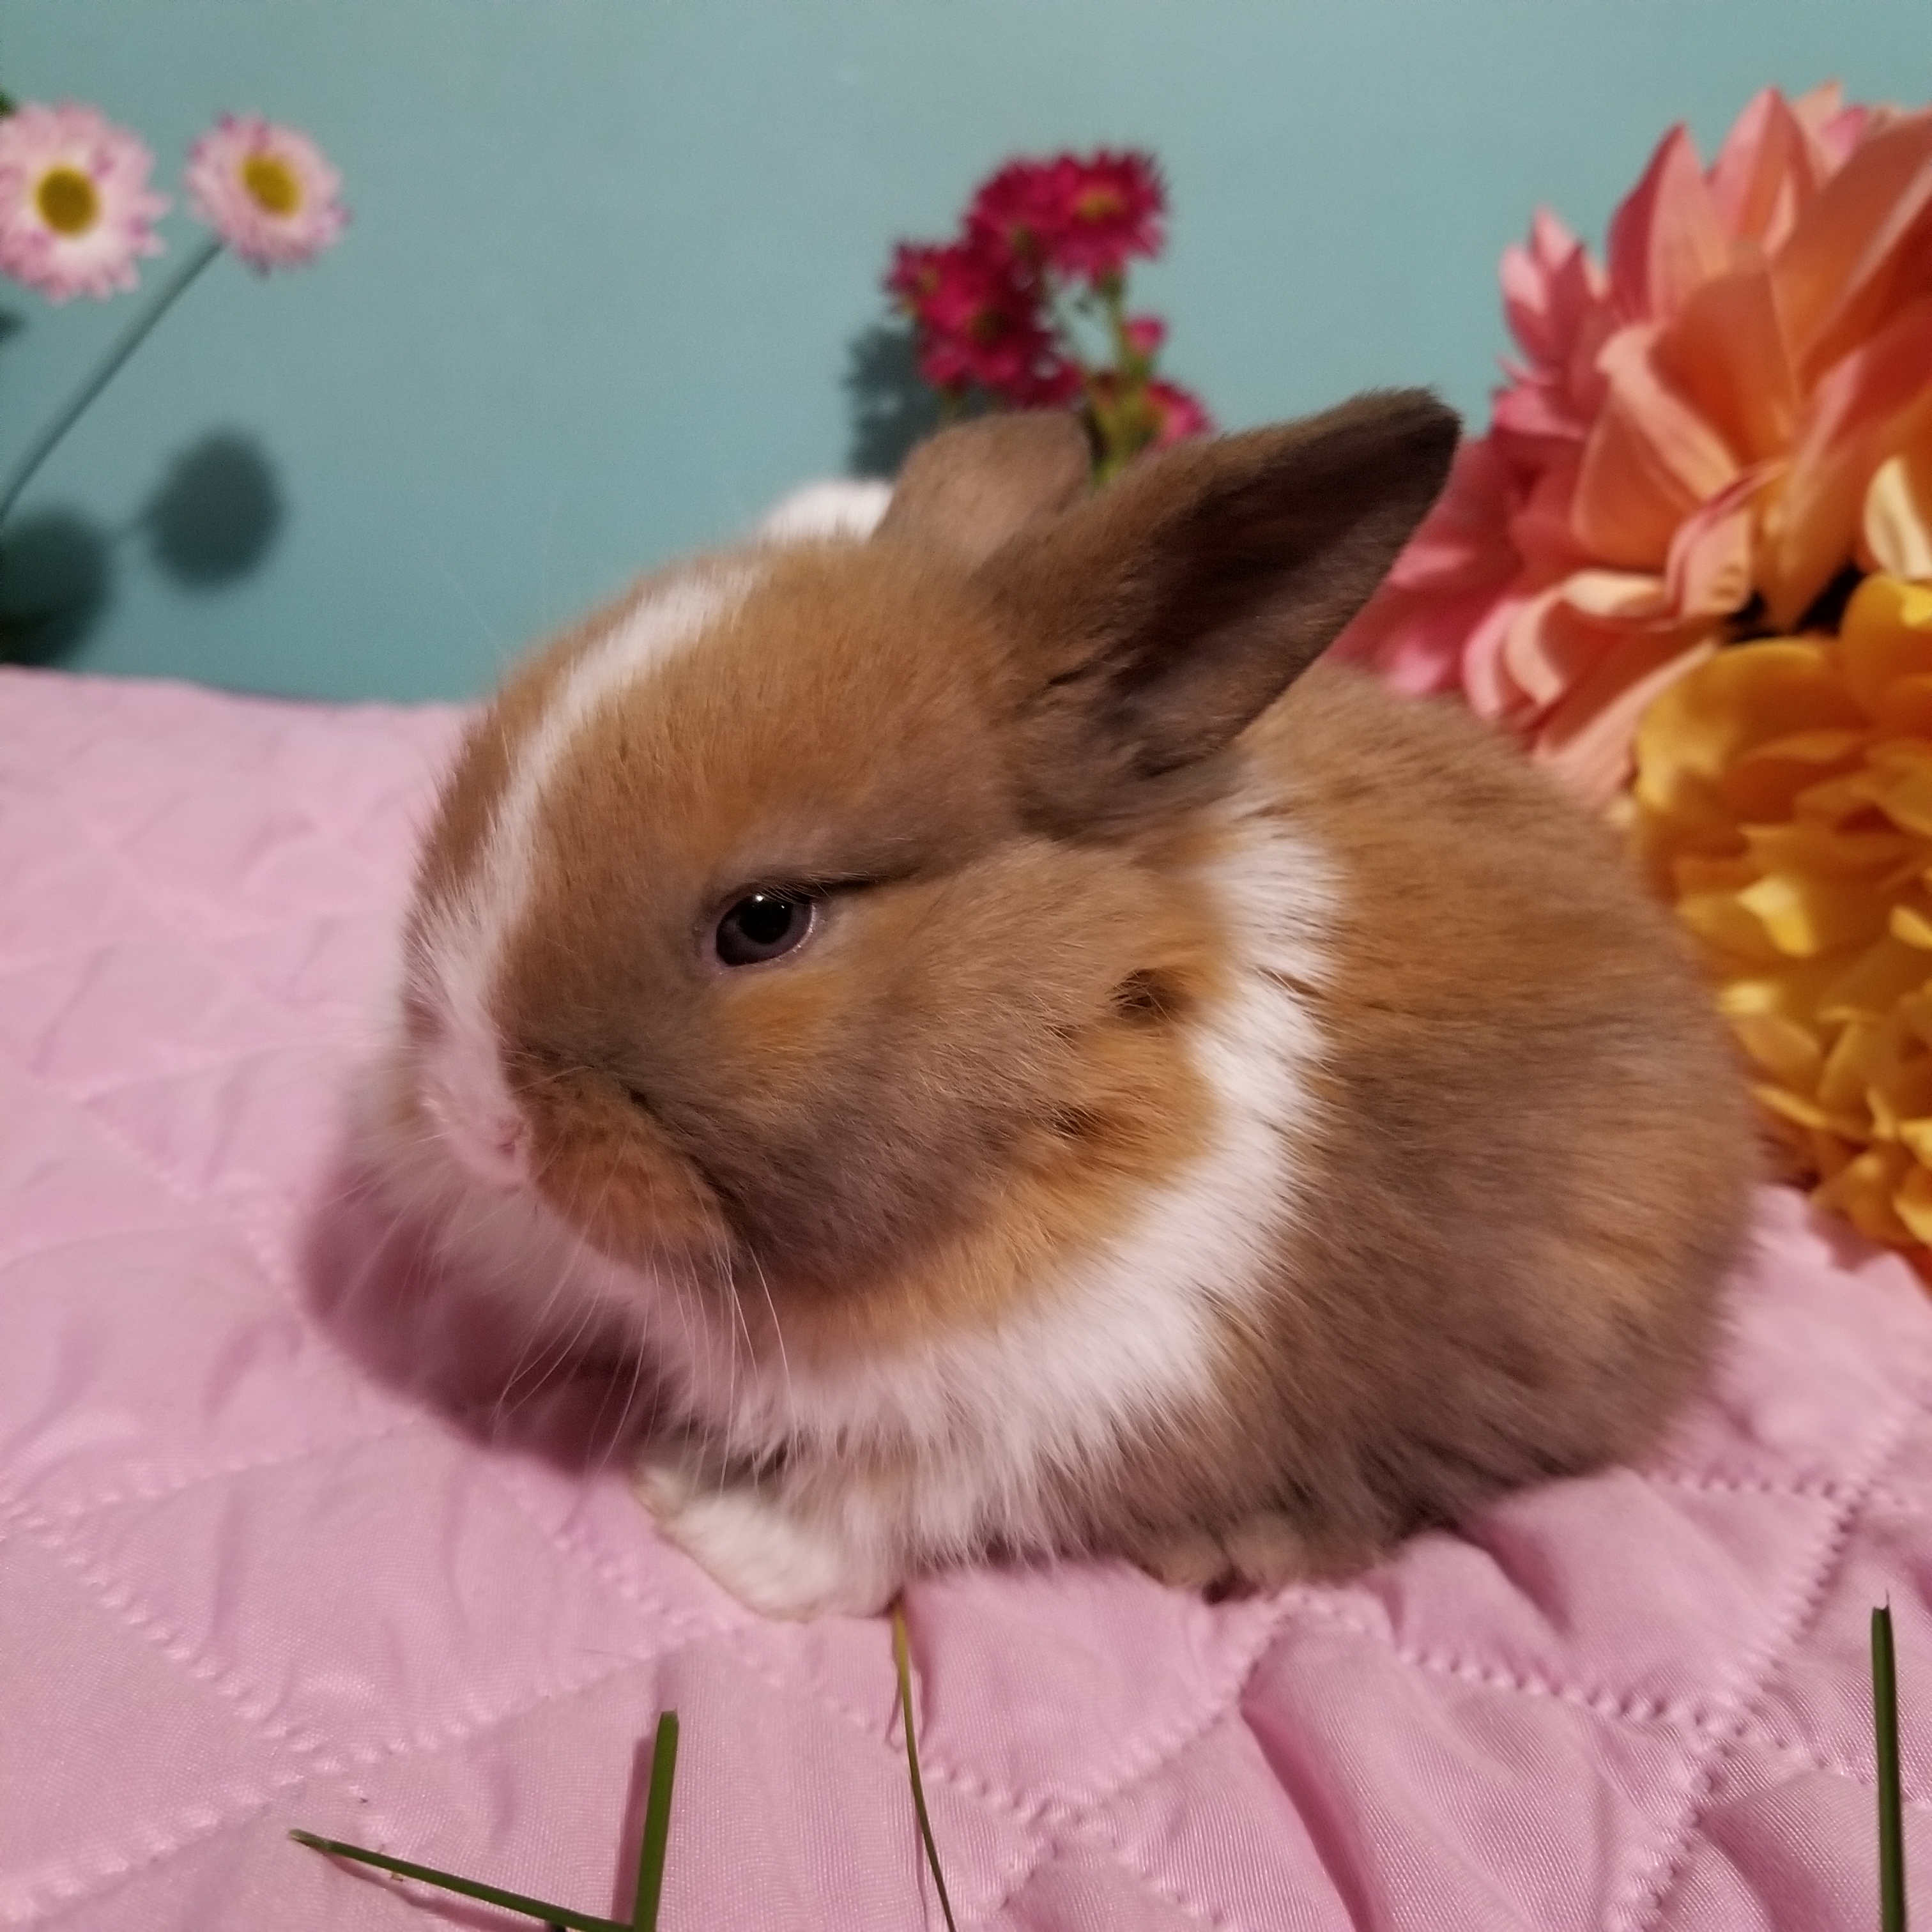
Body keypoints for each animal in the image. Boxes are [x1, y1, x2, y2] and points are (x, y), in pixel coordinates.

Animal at [362, 391, 1755, 1619]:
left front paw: (712, 1530)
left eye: (765, 921)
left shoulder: (1067, 1396)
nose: (477, 1121)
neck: (1063, 1054)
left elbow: (869, 1513)